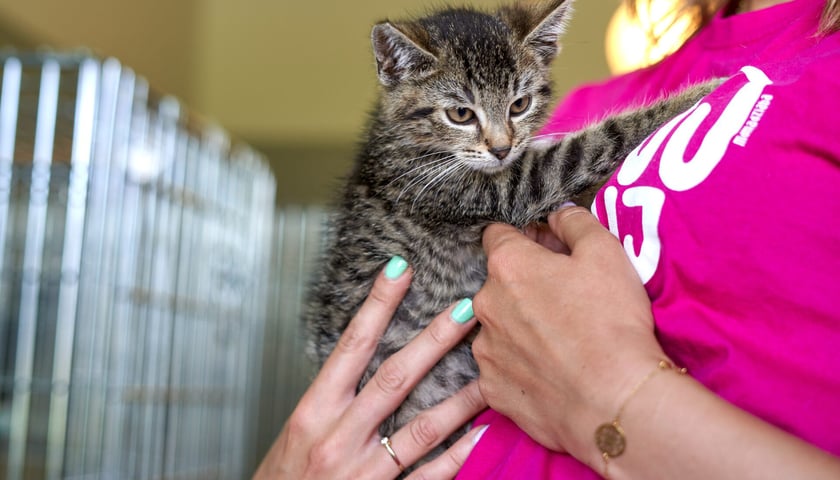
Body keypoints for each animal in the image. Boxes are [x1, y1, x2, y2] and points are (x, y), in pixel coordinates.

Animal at [306, 0, 720, 464]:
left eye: (519, 104)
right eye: (461, 114)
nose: (502, 148)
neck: (407, 140)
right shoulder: (489, 190)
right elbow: (591, 145)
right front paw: (702, 92)